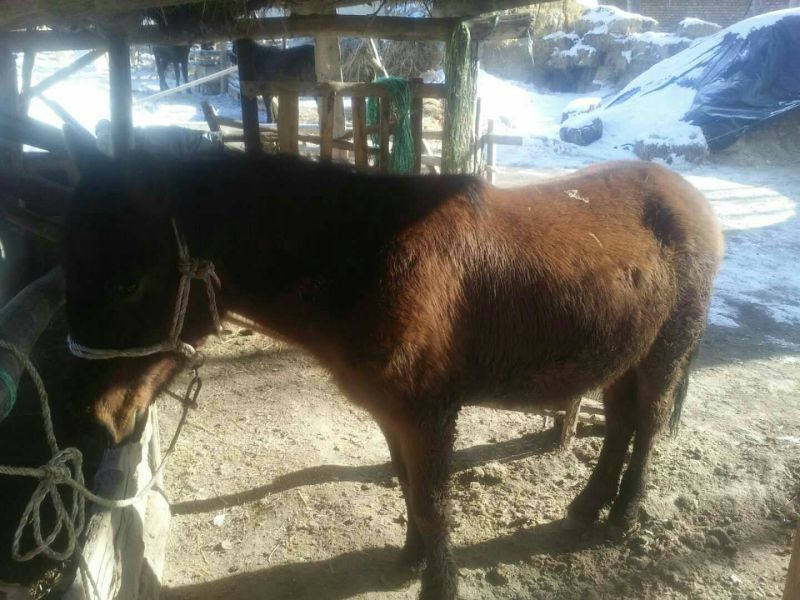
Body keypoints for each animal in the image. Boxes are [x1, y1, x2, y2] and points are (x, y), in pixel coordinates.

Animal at [62, 137, 723, 600]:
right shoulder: (391, 413)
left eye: (127, 284)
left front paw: (439, 584)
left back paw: (623, 515)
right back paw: (589, 506)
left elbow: (433, 502)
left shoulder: (429, 413)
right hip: (622, 353)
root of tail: (690, 197)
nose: (98, 418)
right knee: (620, 423)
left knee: (647, 423)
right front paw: (409, 560)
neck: (374, 264)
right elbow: (407, 486)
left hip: (663, 351)